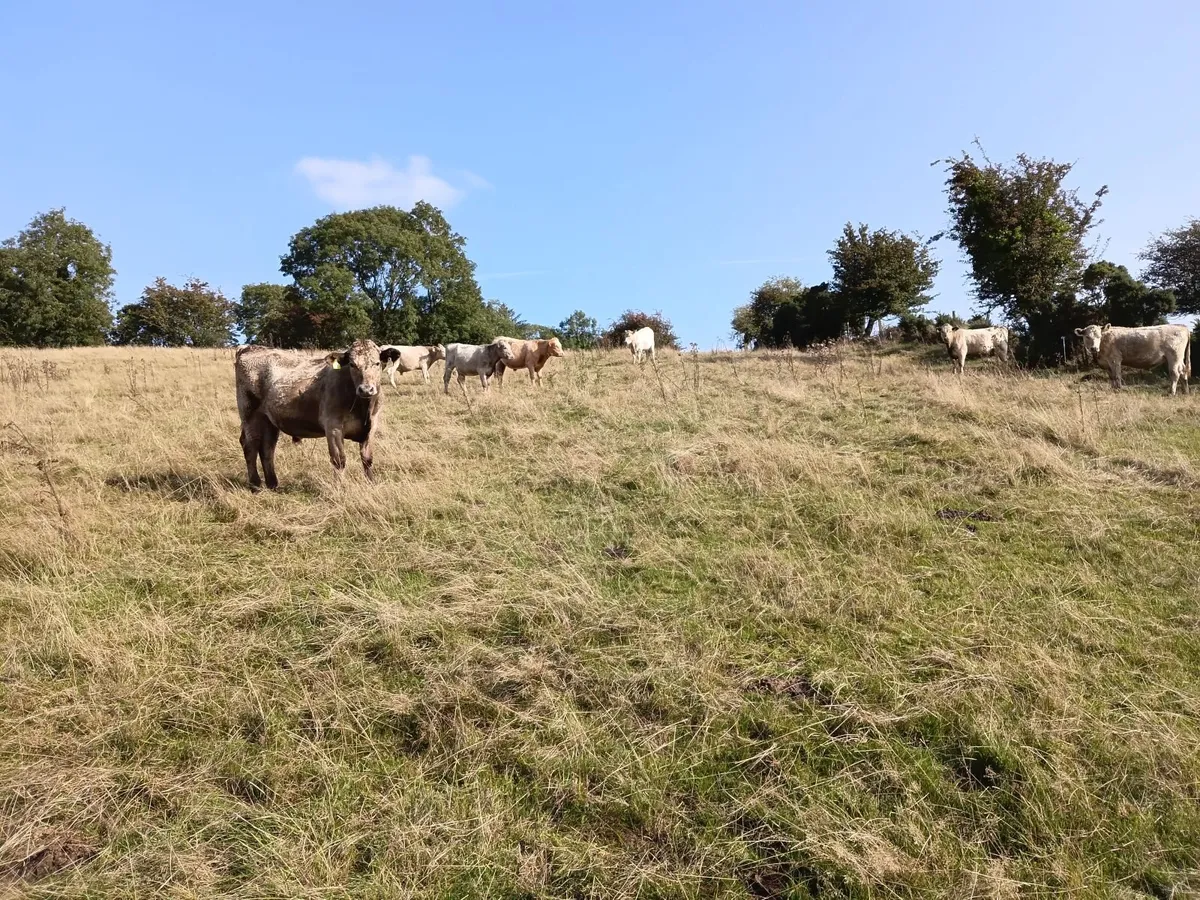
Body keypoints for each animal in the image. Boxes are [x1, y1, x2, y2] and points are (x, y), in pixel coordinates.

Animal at [234, 340, 400, 490]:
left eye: (377, 363)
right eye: (352, 364)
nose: (366, 389)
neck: (363, 407)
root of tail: (250, 347)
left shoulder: (372, 427)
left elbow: (367, 459)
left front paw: (371, 484)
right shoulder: (333, 427)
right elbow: (339, 460)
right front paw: (340, 488)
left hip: (269, 420)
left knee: (267, 448)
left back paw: (272, 483)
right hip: (250, 414)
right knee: (250, 446)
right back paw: (255, 485)